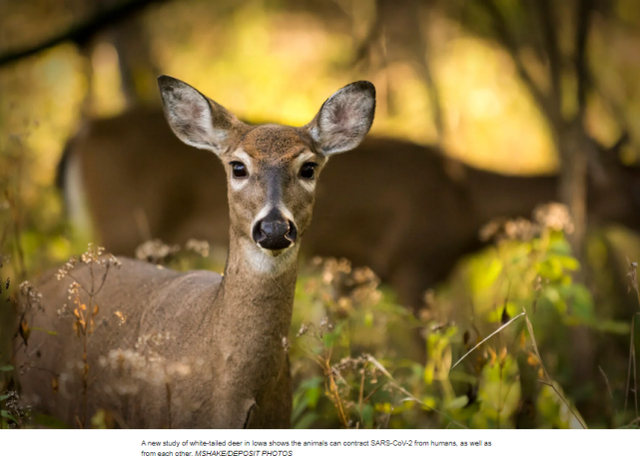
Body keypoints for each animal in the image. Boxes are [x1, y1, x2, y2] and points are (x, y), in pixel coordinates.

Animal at [57, 104, 640, 312]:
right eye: (634, 183)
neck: (465, 201)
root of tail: (80, 134)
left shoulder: (354, 271)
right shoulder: (411, 264)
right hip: (121, 225)